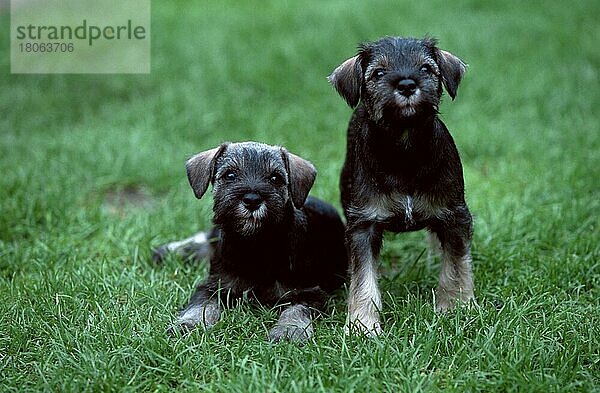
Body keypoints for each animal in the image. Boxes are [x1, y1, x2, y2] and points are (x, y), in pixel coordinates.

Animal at [155, 142, 346, 342]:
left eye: (275, 177)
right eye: (230, 175)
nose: (252, 200)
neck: (254, 246)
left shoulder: (309, 292)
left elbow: (296, 309)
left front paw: (288, 331)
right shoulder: (214, 286)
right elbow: (201, 305)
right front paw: (188, 324)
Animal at [328, 36, 474, 336]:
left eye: (426, 68)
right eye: (378, 73)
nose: (407, 84)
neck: (405, 151)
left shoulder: (454, 216)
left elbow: (456, 265)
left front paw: (456, 308)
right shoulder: (363, 225)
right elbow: (364, 278)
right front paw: (363, 326)